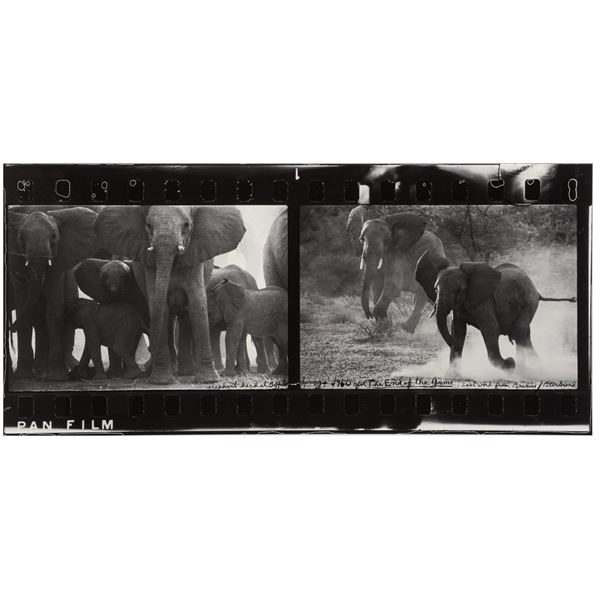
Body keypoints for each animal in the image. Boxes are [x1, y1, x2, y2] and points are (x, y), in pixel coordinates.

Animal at [7, 206, 101, 380]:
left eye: (54, 237)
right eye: (20, 238)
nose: (12, 329)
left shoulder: (60, 261)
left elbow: (53, 312)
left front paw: (57, 377)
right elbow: (25, 310)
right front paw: (23, 376)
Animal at [95, 206, 245, 384]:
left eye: (186, 225)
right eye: (148, 225)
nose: (150, 349)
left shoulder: (195, 257)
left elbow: (197, 304)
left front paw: (209, 380)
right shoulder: (149, 264)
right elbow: (158, 305)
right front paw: (161, 381)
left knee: (184, 316)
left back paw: (185, 372)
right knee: (168, 317)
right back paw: (173, 371)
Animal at [418, 251, 576, 372]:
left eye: (458, 290)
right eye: (435, 290)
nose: (454, 346)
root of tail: (537, 291)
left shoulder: (484, 301)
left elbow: (490, 328)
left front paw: (510, 364)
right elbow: (458, 330)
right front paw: (452, 375)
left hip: (529, 301)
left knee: (520, 331)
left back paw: (525, 370)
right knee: (522, 334)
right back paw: (528, 369)